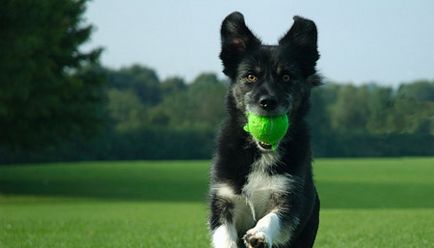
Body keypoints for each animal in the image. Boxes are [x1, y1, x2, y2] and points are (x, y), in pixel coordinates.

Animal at [209, 12, 320, 248]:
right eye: (251, 76)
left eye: (286, 77)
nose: (268, 102)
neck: (261, 152)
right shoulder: (223, 199)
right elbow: (224, 234)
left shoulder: (288, 196)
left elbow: (274, 217)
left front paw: (258, 234)